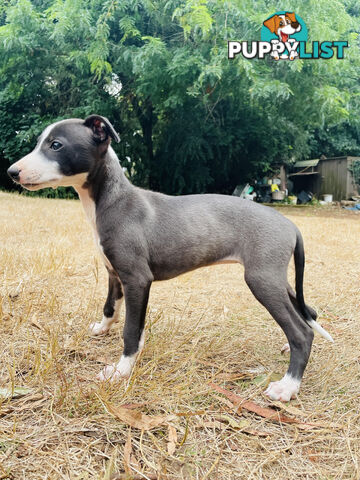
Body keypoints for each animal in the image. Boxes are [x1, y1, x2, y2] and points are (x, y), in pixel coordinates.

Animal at [7, 116, 334, 402]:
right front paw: (102, 328)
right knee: (308, 313)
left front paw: (121, 370)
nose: (12, 172)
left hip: (261, 279)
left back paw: (288, 385)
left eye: (56, 145)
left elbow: (131, 331)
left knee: (302, 332)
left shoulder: (138, 279)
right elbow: (112, 307)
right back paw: (287, 349)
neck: (111, 200)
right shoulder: (114, 273)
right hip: (275, 276)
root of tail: (291, 225)